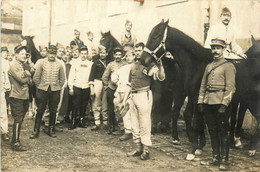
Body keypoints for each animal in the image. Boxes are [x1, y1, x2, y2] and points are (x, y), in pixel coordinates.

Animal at [141, 20, 260, 156]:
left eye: (156, 36)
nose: (142, 59)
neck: (197, 64)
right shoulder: (195, 97)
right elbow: (198, 120)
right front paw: (199, 145)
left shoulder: (198, 97)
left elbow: (197, 121)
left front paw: (195, 148)